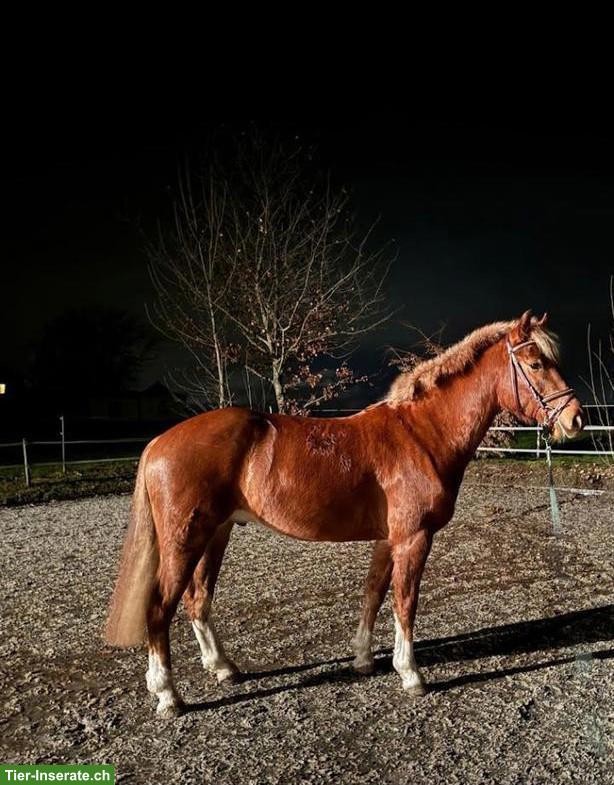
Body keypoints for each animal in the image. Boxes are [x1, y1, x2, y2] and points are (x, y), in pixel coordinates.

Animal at [105, 310, 584, 717]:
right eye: (536, 363)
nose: (575, 420)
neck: (421, 434)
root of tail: (159, 442)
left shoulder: (388, 539)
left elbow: (373, 594)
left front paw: (364, 659)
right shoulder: (414, 538)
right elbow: (405, 601)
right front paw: (411, 674)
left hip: (215, 534)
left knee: (197, 599)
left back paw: (223, 668)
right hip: (185, 540)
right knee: (159, 608)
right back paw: (168, 695)